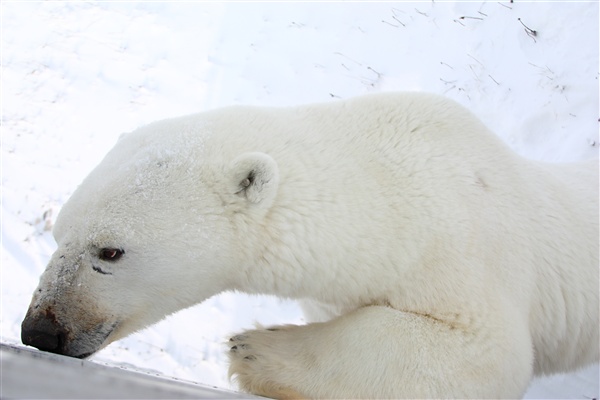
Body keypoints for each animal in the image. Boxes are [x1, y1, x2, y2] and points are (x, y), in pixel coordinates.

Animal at [21, 93, 596, 396]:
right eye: (58, 234)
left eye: (109, 252)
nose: (40, 331)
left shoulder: (468, 257)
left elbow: (485, 352)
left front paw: (257, 350)